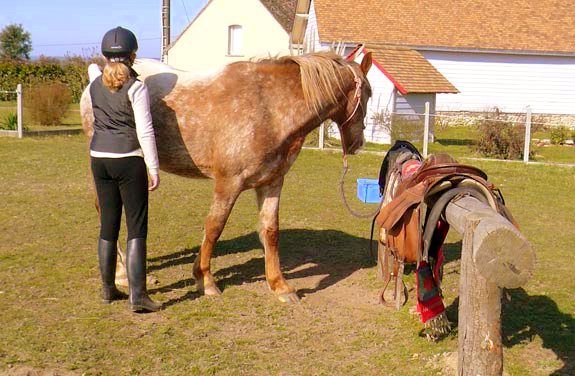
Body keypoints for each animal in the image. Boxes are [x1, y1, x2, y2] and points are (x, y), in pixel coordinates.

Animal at [81, 52, 376, 302]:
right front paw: (205, 280)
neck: (268, 107)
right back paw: (121, 273)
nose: (358, 143)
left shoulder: (272, 182)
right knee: (105, 211)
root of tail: (96, 78)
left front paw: (279, 285)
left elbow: (270, 230)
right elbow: (214, 227)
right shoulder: (229, 183)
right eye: (369, 93)